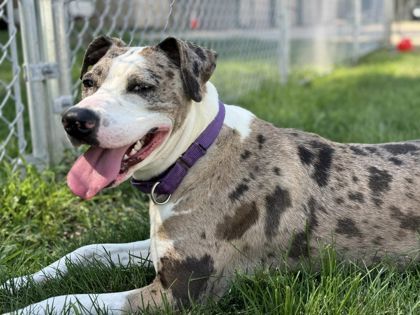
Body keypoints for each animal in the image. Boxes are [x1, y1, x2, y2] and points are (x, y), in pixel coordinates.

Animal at [1, 36, 418, 314]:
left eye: (142, 86)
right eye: (89, 81)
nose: (75, 120)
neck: (196, 154)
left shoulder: (177, 293)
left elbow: (64, 300)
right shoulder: (159, 249)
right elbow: (84, 252)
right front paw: (12, 283)